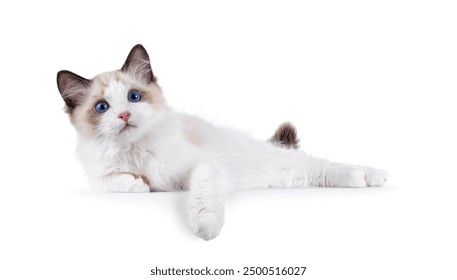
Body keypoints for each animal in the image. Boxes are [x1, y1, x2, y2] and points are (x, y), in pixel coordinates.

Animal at [55, 44, 386, 241]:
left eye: (133, 96)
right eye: (102, 107)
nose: (124, 114)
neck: (136, 150)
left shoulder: (202, 165)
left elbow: (202, 197)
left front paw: (205, 226)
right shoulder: (98, 174)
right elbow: (111, 182)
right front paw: (139, 184)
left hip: (281, 164)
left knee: (324, 165)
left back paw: (372, 176)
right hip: (286, 177)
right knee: (313, 172)